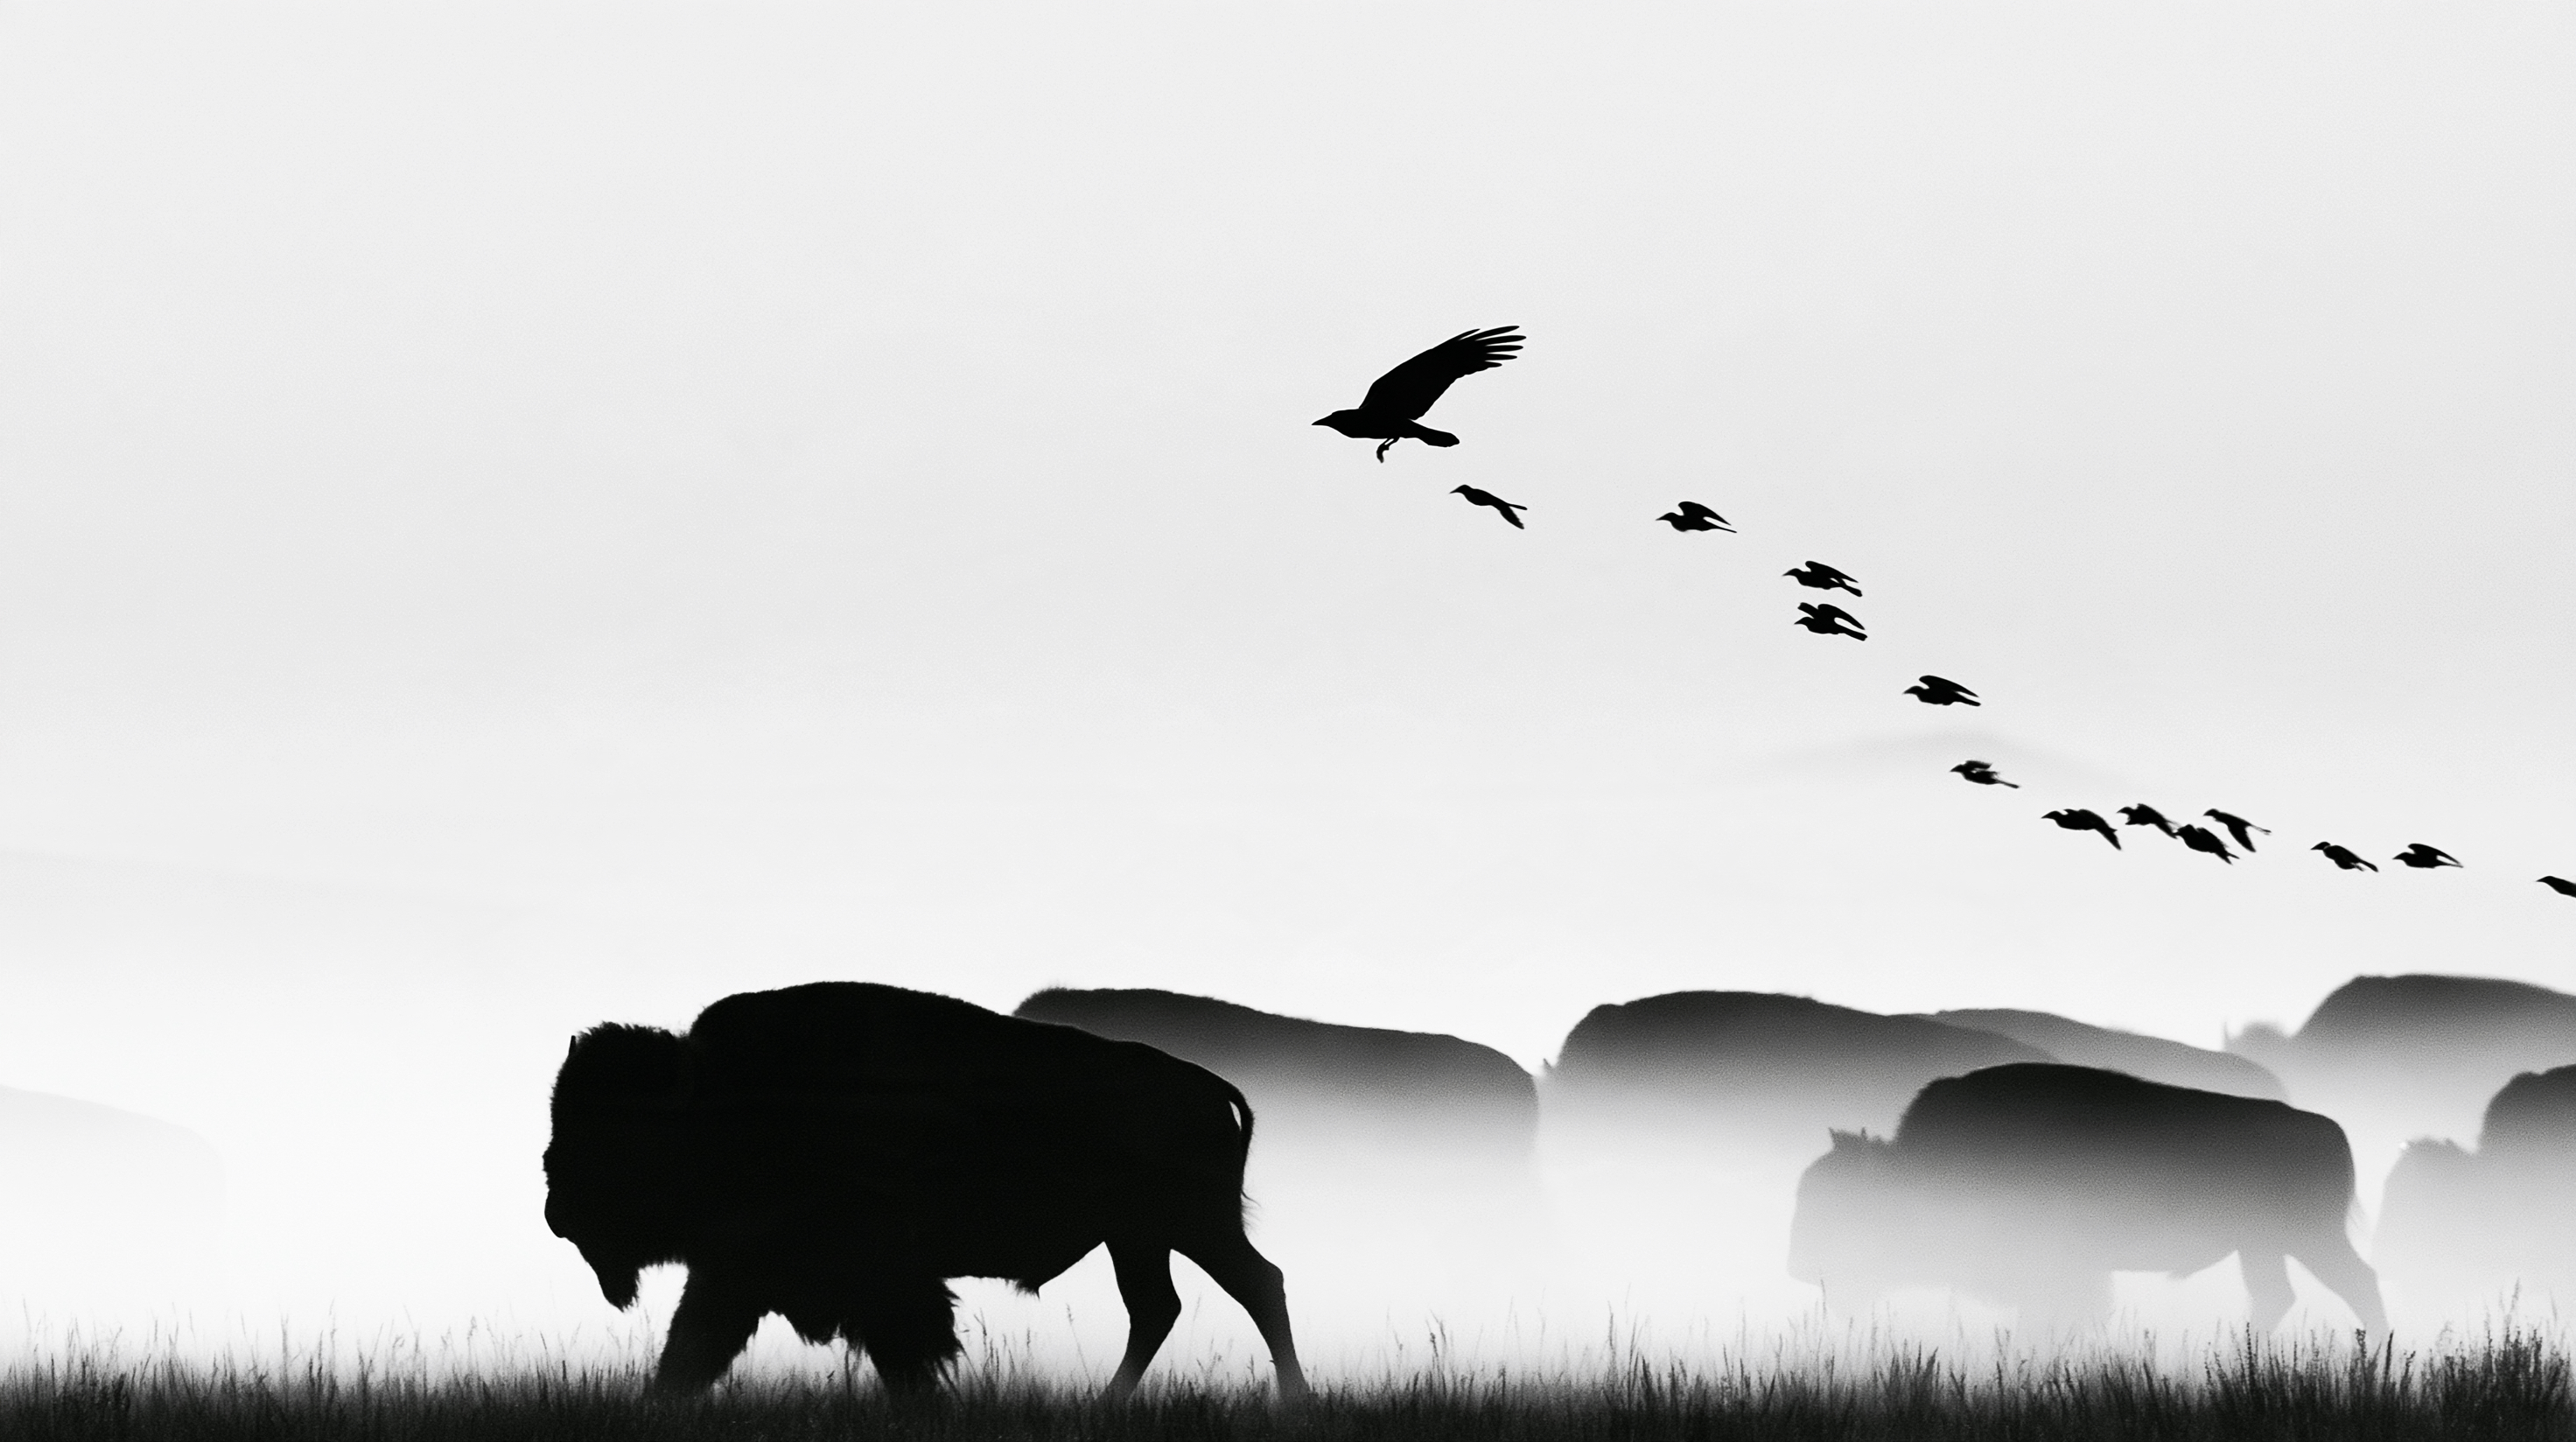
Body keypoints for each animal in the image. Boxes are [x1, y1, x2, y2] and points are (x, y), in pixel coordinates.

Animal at [543, 981, 1307, 1397]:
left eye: (612, 1134)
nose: (555, 1212)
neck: (718, 1098)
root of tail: (1203, 1084)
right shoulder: (734, 1272)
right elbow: (690, 1350)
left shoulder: (871, 1278)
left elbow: (907, 1348)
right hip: (1140, 1237)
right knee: (1161, 1308)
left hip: (1187, 1226)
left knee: (1255, 1285)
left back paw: (1291, 1400)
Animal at [1790, 1063, 2387, 1333]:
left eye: (1841, 1205)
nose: (1799, 1266)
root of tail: (2329, 1127)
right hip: (2263, 1247)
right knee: (2278, 1297)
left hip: (2304, 1239)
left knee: (2356, 1283)